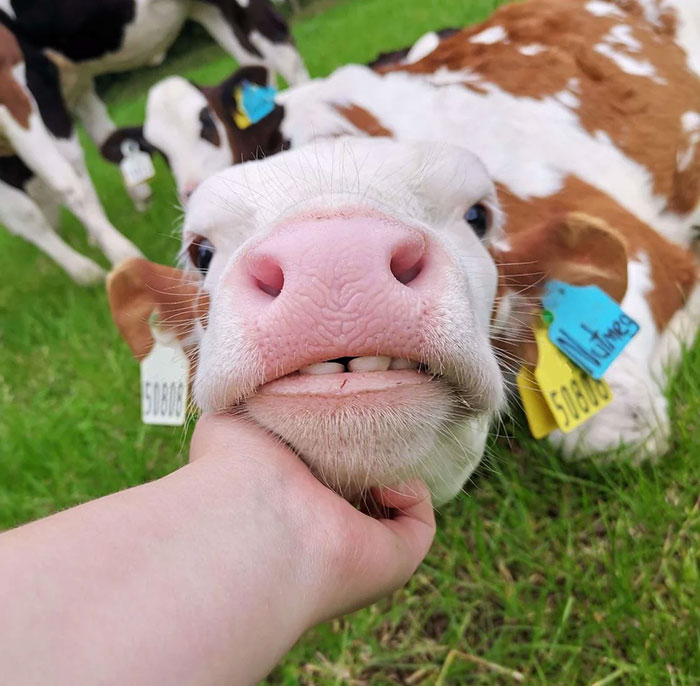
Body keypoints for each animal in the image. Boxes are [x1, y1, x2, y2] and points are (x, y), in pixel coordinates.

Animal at [0, 1, 308, 284]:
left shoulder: (16, 81)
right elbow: (31, 209)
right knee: (257, 64)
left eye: (207, 124)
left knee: (282, 54)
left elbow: (66, 181)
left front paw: (116, 256)